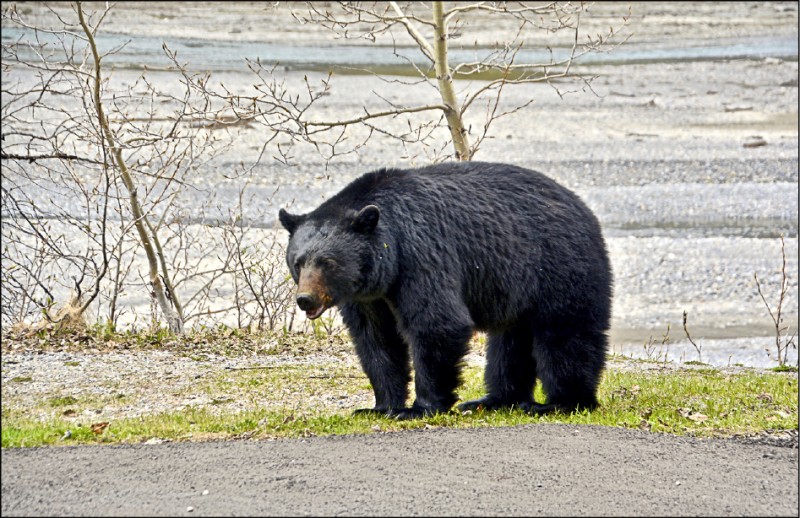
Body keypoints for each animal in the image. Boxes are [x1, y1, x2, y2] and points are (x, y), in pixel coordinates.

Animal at [278, 161, 612, 420]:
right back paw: (494, 400)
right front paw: (379, 406)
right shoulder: (368, 296)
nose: (305, 299)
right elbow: (376, 340)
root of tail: (585, 209)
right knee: (508, 343)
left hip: (559, 266)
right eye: (298, 262)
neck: (388, 258)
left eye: (328, 262)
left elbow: (437, 323)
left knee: (566, 335)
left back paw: (561, 403)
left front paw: (419, 408)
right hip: (515, 289)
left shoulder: (421, 256)